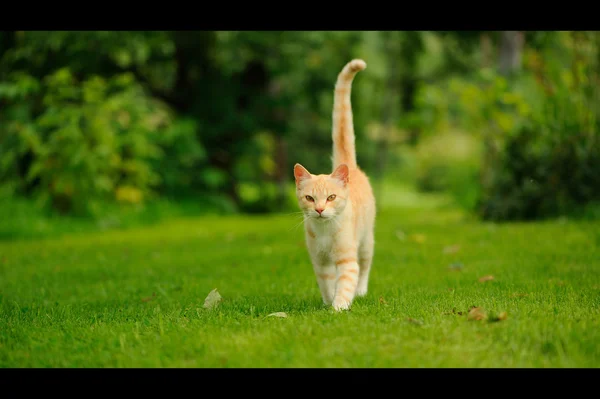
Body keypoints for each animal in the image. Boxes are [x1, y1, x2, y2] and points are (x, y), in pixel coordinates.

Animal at [294, 58, 376, 312]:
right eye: (310, 198)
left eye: (331, 197)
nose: (320, 210)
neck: (324, 232)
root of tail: (350, 165)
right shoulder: (320, 262)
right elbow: (327, 283)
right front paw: (328, 302)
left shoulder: (347, 259)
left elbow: (346, 281)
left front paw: (339, 307)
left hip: (366, 241)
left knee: (365, 266)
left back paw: (362, 291)